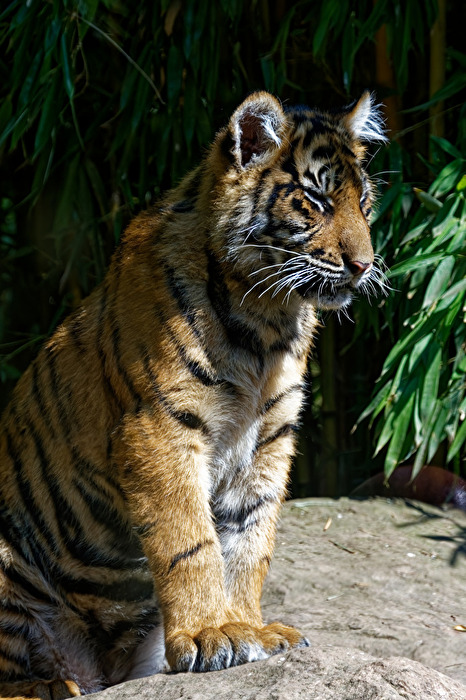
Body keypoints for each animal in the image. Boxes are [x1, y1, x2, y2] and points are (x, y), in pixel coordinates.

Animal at [0, 90, 387, 699]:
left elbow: (250, 542)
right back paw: (48, 686)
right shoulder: (160, 429)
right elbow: (192, 541)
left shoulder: (269, 439)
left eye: (365, 203)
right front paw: (210, 634)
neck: (267, 324)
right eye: (317, 200)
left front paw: (251, 629)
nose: (364, 265)